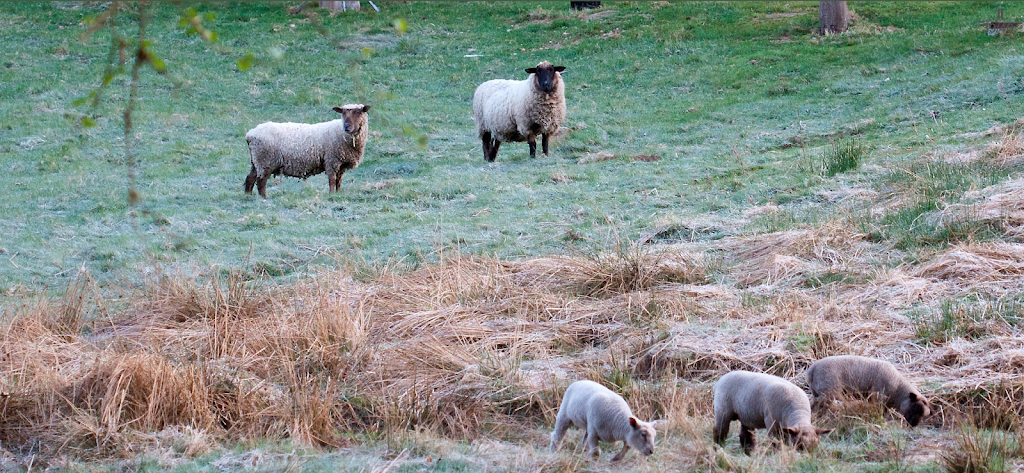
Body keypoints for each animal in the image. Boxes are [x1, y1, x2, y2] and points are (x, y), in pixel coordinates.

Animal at [243, 103, 372, 197]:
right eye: (343, 113)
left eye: (358, 112)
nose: (346, 127)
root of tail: (250, 134)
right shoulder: (331, 160)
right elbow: (332, 180)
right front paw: (331, 195)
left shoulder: (341, 164)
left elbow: (338, 181)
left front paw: (338, 194)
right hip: (265, 161)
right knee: (261, 182)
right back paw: (264, 198)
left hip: (257, 161)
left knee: (250, 178)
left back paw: (248, 196)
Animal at [802, 354, 933, 427]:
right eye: (915, 407)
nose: (913, 425)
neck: (898, 390)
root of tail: (811, 370)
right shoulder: (878, 396)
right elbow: (879, 411)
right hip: (828, 391)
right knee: (819, 407)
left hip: (818, 392)